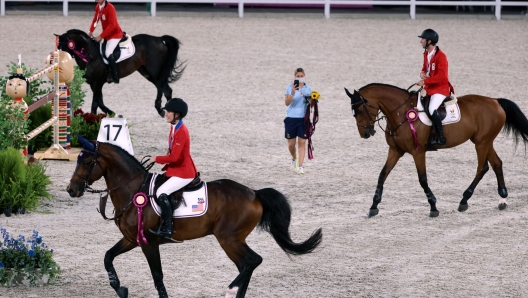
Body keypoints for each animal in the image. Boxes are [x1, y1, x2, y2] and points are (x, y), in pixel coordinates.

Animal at [56, 29, 186, 117]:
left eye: (61, 46)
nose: (57, 62)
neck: (90, 54)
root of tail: (159, 39)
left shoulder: (97, 83)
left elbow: (95, 104)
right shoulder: (94, 84)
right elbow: (100, 102)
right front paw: (111, 113)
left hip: (154, 71)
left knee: (165, 89)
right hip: (147, 72)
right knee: (163, 88)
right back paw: (162, 109)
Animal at [66, 136, 322, 298]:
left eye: (86, 161)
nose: (71, 190)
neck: (132, 190)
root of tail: (254, 193)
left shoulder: (148, 243)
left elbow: (157, 276)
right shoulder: (132, 239)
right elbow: (108, 257)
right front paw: (120, 288)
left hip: (229, 239)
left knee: (252, 261)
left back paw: (230, 290)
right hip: (232, 241)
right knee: (246, 265)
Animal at [344, 82, 528, 218]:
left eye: (360, 110)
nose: (365, 134)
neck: (400, 113)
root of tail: (495, 101)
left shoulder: (418, 152)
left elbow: (422, 179)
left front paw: (433, 206)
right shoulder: (395, 150)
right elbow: (382, 175)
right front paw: (374, 205)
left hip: (481, 143)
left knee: (482, 168)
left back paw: (464, 200)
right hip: (484, 141)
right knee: (497, 163)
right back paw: (502, 199)